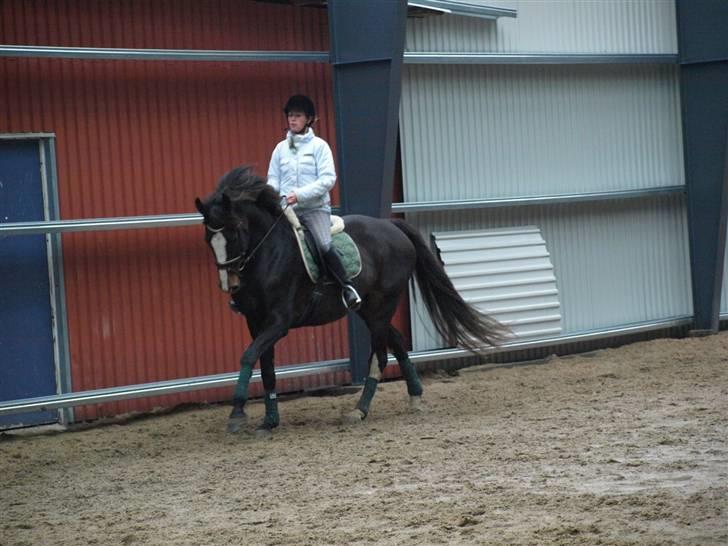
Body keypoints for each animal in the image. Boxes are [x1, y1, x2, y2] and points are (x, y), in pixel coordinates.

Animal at [196, 166, 510, 434]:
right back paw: (415, 397)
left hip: (382, 305)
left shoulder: (278, 323)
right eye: (209, 238)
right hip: (370, 309)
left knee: (380, 356)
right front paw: (269, 421)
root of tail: (392, 226)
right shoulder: (256, 322)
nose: (229, 284)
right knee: (396, 341)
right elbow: (266, 368)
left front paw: (237, 415)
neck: (269, 255)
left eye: (234, 230)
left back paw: (359, 410)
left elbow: (248, 356)